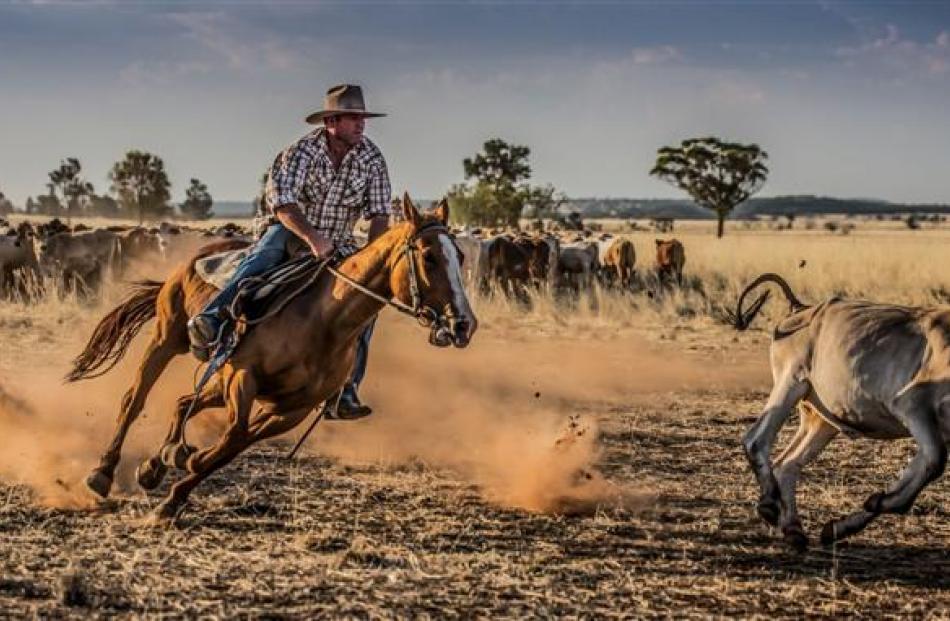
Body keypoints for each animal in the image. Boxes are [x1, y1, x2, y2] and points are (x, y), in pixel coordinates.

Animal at [70, 196, 480, 520]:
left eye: (459, 255)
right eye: (428, 256)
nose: (463, 324)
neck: (324, 319)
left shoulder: (290, 408)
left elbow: (233, 446)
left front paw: (178, 482)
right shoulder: (243, 376)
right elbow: (233, 435)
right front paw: (179, 478)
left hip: (218, 374)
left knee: (185, 401)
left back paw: (159, 461)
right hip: (168, 339)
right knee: (134, 399)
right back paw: (103, 472)